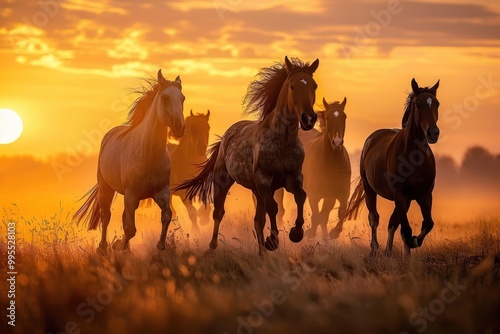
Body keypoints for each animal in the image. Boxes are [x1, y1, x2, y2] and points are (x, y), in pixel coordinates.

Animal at [76, 70, 188, 253]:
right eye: (165, 97)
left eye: (182, 98)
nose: (179, 128)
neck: (149, 154)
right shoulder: (131, 194)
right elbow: (130, 229)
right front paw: (120, 248)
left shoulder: (161, 192)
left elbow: (167, 216)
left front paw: (161, 246)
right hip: (107, 188)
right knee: (106, 216)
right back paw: (103, 248)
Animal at [174, 56, 318, 256]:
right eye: (292, 86)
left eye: (314, 85)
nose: (308, 119)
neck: (282, 142)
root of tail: (226, 135)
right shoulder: (264, 179)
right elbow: (273, 207)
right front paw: (273, 241)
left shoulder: (293, 178)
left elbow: (300, 197)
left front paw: (295, 234)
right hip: (224, 181)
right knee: (219, 212)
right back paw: (213, 245)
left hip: (256, 190)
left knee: (258, 220)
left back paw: (261, 252)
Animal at [300, 96, 352, 240]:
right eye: (328, 117)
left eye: (344, 116)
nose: (337, 142)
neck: (331, 164)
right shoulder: (313, 195)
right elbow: (318, 217)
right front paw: (313, 233)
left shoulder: (338, 195)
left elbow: (339, 212)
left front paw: (333, 233)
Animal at [346, 78, 440, 256]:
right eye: (418, 104)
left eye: (437, 103)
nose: (433, 133)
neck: (414, 158)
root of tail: (372, 138)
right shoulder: (400, 195)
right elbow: (406, 230)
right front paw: (411, 245)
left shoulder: (424, 195)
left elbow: (428, 223)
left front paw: (412, 246)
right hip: (370, 190)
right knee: (374, 218)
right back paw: (374, 250)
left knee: (393, 223)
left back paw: (388, 252)